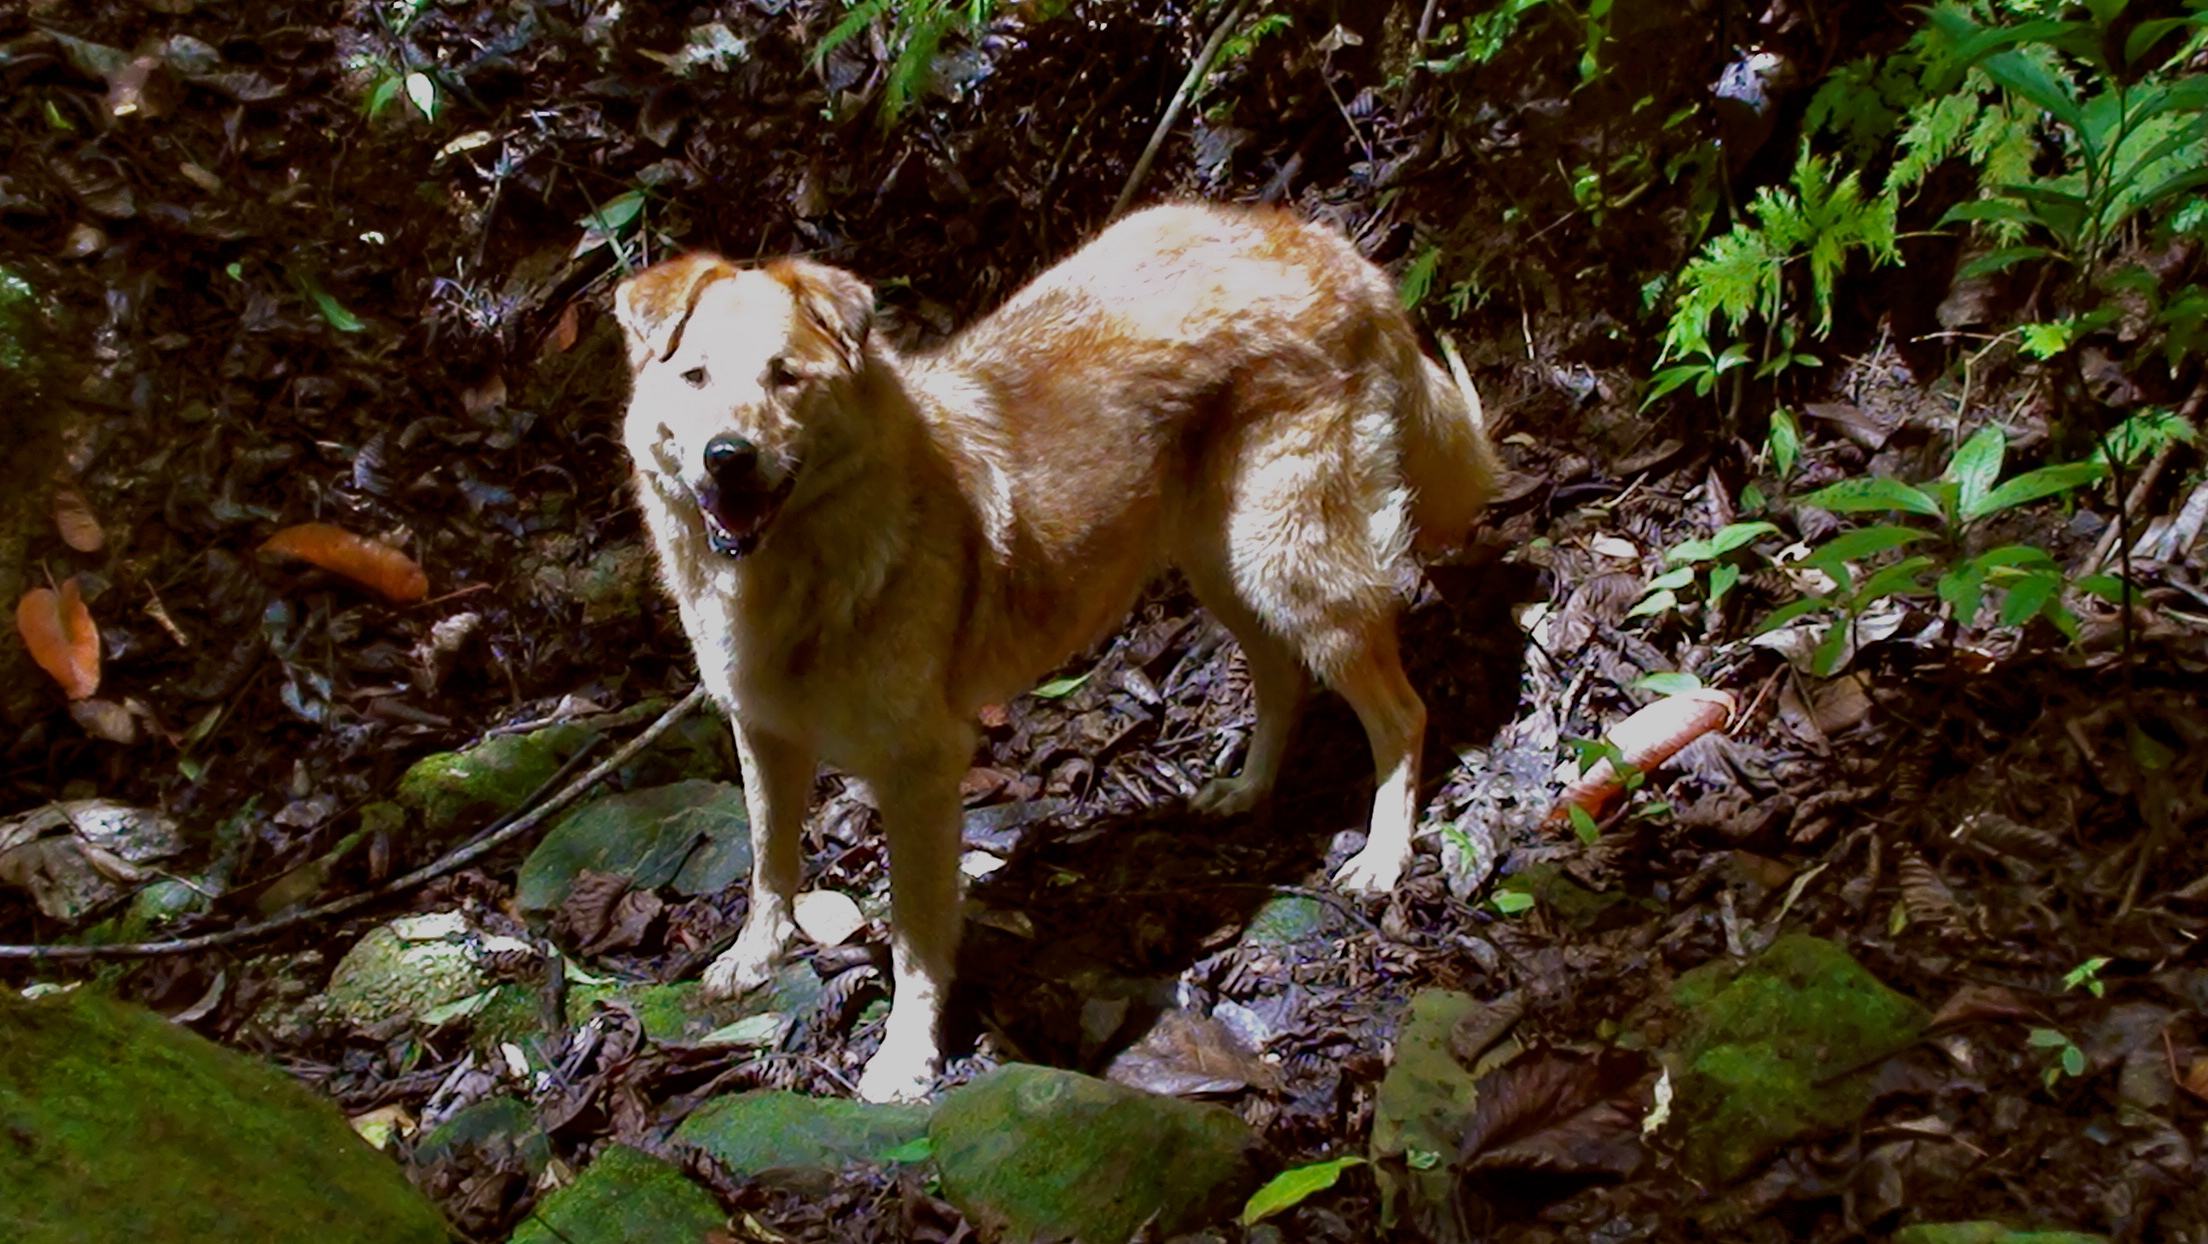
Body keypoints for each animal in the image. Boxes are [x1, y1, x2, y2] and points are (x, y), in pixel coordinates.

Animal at [613, 202, 1492, 1100]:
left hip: (1288, 563)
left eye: (786, 377)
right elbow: (768, 859)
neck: (803, 574)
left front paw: (907, 1055)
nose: (727, 458)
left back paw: (1383, 857)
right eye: (694, 378)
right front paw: (754, 957)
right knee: (1285, 679)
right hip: (1223, 564)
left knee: (1402, 713)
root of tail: (1335, 249)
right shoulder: (763, 732)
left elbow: (914, 934)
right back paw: (1247, 792)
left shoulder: (921, 768)